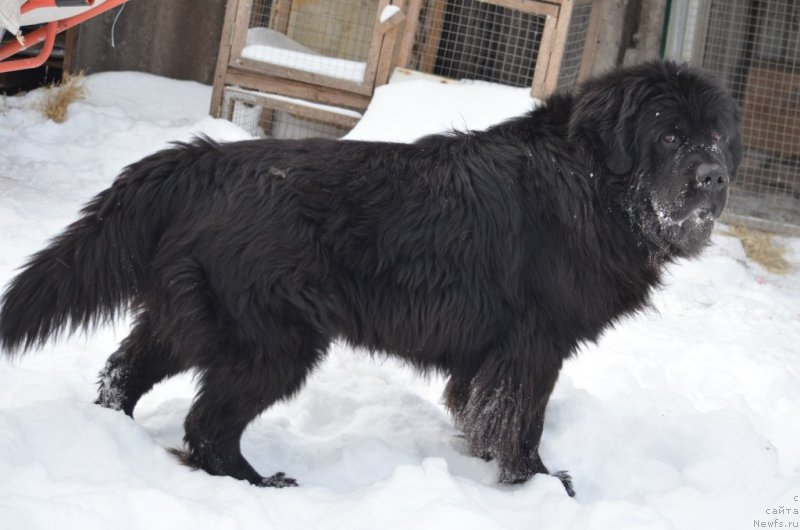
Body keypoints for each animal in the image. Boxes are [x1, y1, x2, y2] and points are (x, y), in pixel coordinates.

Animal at [0, 59, 740, 492]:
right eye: (668, 135)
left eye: (715, 138)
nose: (714, 178)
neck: (589, 181)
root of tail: (199, 160)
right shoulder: (532, 346)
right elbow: (520, 422)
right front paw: (536, 486)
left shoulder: (499, 354)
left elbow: (484, 413)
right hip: (272, 340)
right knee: (207, 423)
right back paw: (259, 484)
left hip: (189, 319)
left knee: (121, 374)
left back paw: (114, 442)